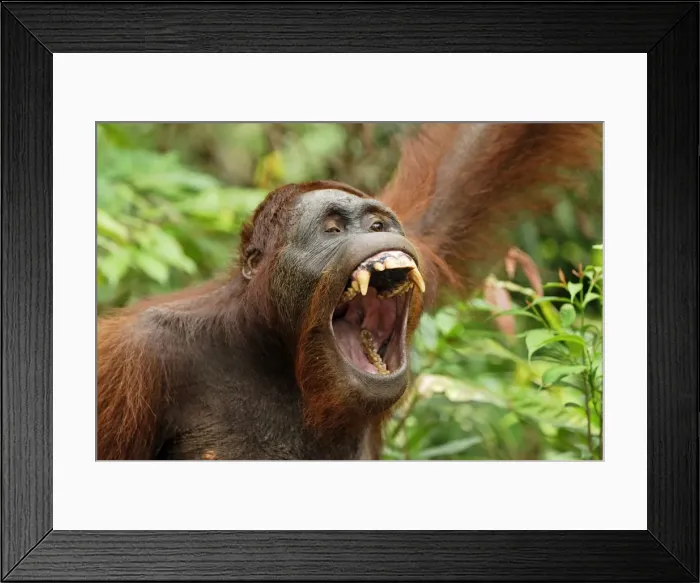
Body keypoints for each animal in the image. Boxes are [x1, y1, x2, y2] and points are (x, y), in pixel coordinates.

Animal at [97, 123, 602, 460]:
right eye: (334, 230)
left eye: (377, 225)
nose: (374, 237)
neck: (276, 351)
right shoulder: (132, 361)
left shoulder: (421, 238)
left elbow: (469, 159)